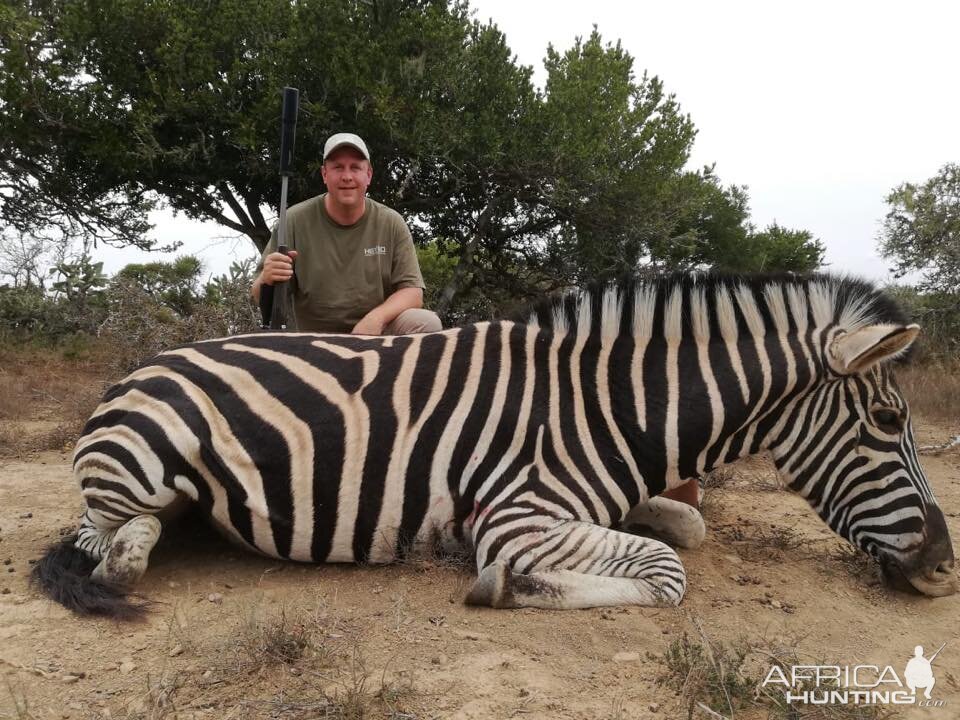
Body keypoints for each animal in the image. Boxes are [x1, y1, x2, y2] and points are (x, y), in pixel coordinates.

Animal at [33, 272, 956, 616]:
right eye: (887, 424)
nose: (944, 566)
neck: (606, 408)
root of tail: (144, 362)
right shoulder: (519, 518)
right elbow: (666, 573)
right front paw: (507, 585)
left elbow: (686, 529)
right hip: (139, 466)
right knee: (101, 539)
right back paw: (124, 560)